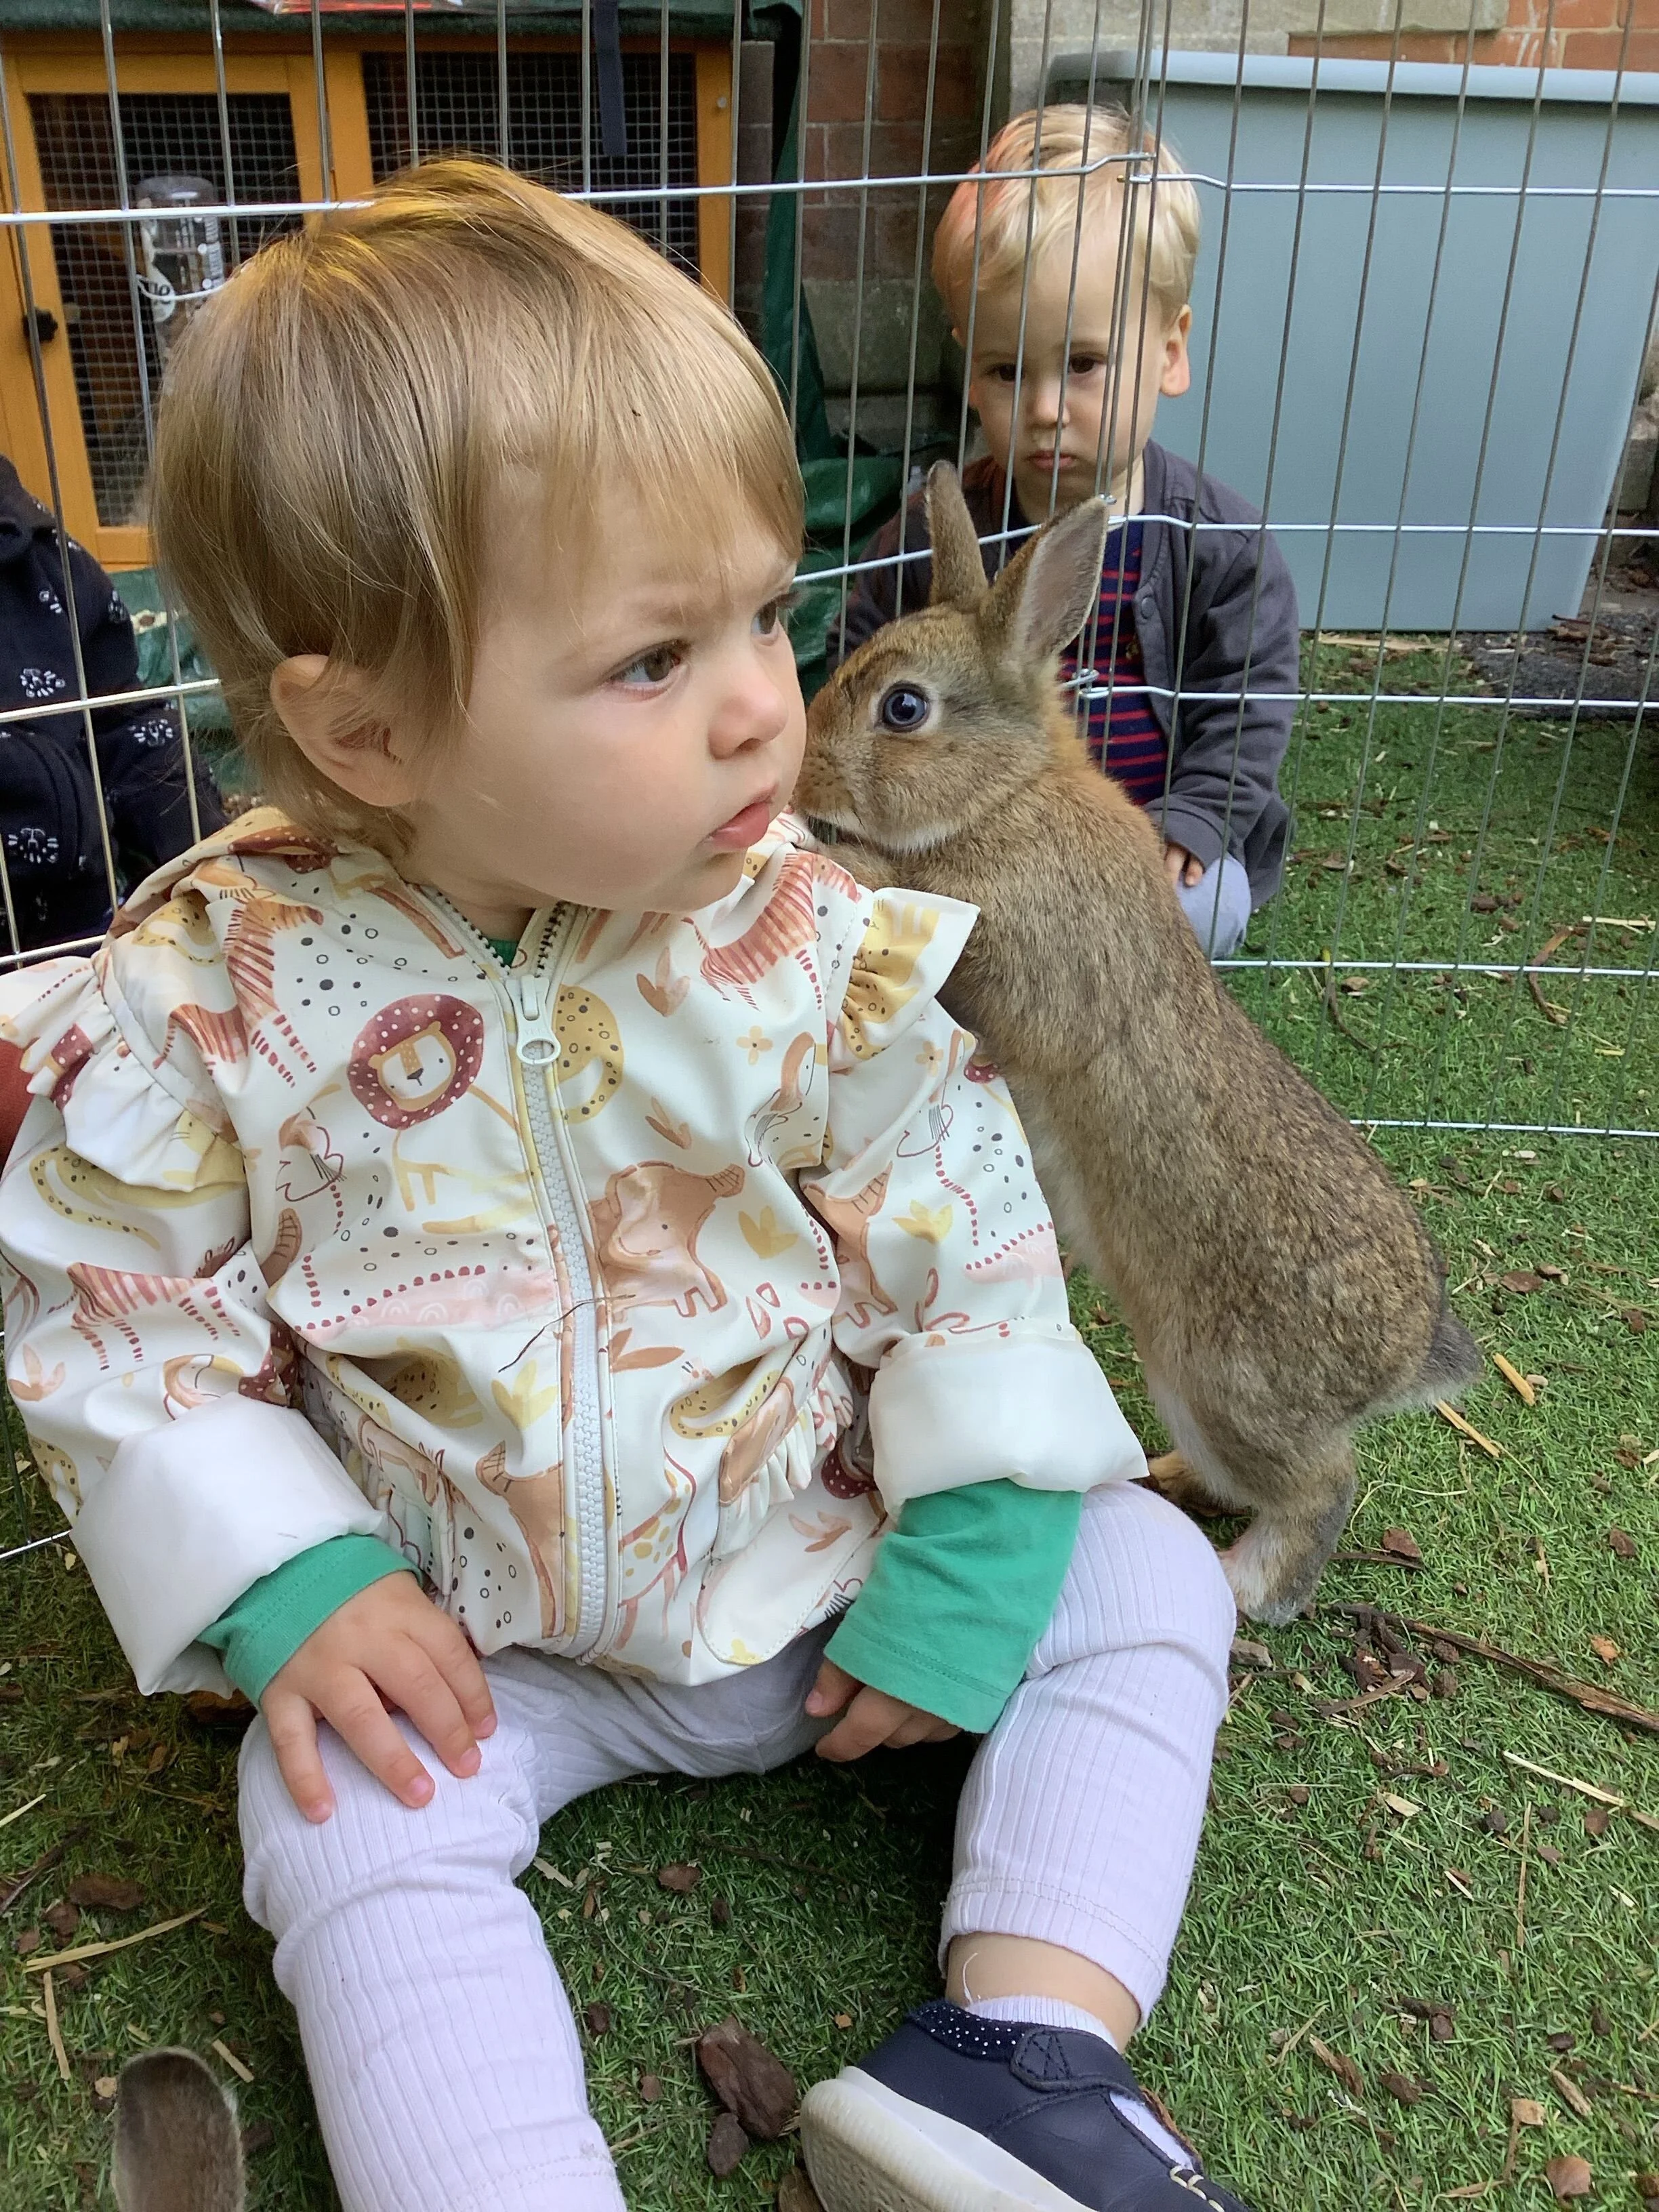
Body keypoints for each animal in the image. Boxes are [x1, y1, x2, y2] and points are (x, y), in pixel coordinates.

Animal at [797, 463, 1482, 1625]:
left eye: (905, 707)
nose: (803, 783)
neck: (1008, 794)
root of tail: (1404, 1361)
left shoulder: (1017, 948)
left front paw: (821, 844)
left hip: (1223, 1385)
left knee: (1320, 1487)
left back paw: (1247, 1586)